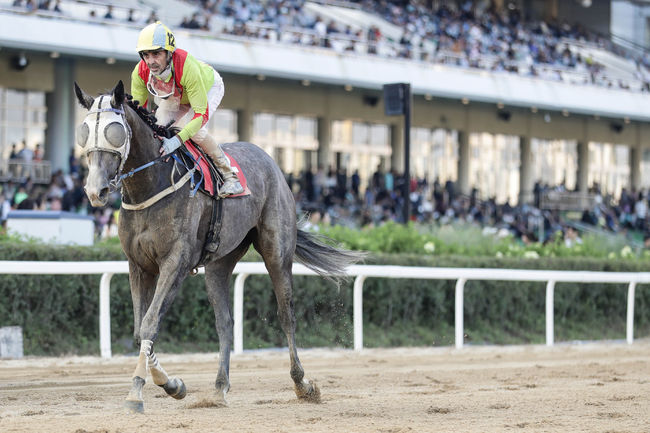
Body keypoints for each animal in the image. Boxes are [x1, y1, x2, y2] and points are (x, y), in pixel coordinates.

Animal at [73, 80, 362, 412]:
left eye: (114, 131)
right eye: (84, 132)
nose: (95, 190)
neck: (151, 184)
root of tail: (269, 160)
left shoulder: (176, 262)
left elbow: (149, 324)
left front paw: (137, 392)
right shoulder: (139, 264)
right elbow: (138, 329)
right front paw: (172, 384)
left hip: (277, 252)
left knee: (286, 314)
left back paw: (302, 384)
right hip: (219, 263)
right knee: (225, 321)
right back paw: (219, 387)